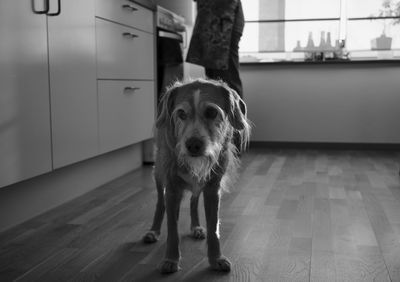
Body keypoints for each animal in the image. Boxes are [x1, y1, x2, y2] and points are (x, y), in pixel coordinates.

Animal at [142, 79, 252, 274]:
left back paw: (196, 227)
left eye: (212, 112)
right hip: (159, 174)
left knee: (193, 200)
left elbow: (214, 228)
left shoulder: (213, 190)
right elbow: (172, 229)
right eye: (181, 113)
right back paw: (153, 231)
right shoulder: (172, 190)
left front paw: (216, 258)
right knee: (160, 203)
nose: (193, 145)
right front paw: (171, 259)